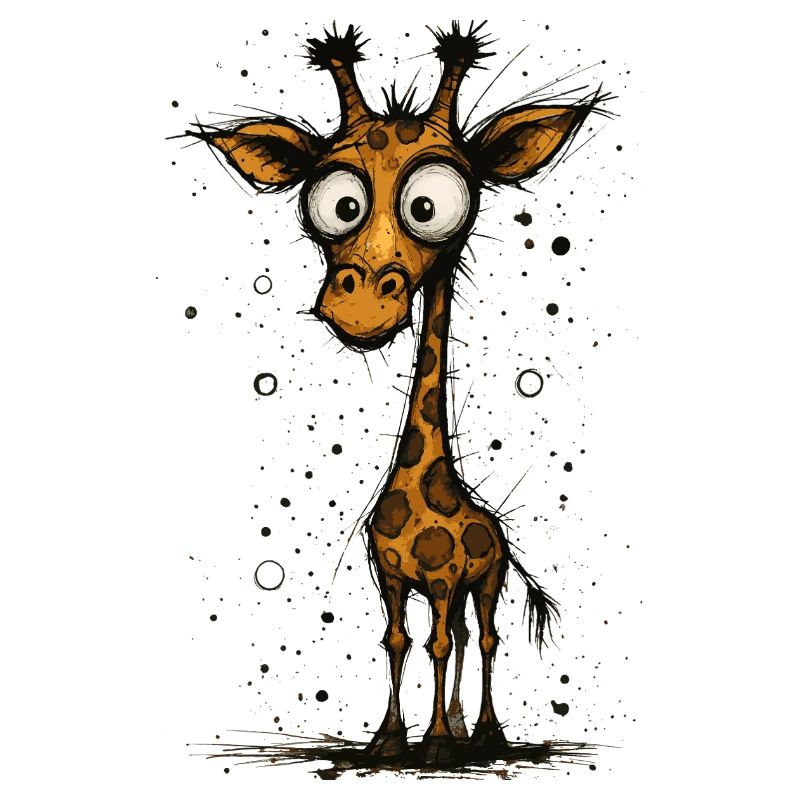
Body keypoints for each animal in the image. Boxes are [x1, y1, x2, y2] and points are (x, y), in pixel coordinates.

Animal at [189, 22, 594, 767]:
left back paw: (481, 732)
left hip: (487, 579)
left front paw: (432, 744)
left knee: (480, 635)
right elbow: (400, 641)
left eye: (429, 206)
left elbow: (435, 642)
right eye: (340, 205)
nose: (358, 306)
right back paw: (461, 729)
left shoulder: (443, 578)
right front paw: (387, 740)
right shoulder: (392, 578)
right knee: (456, 637)